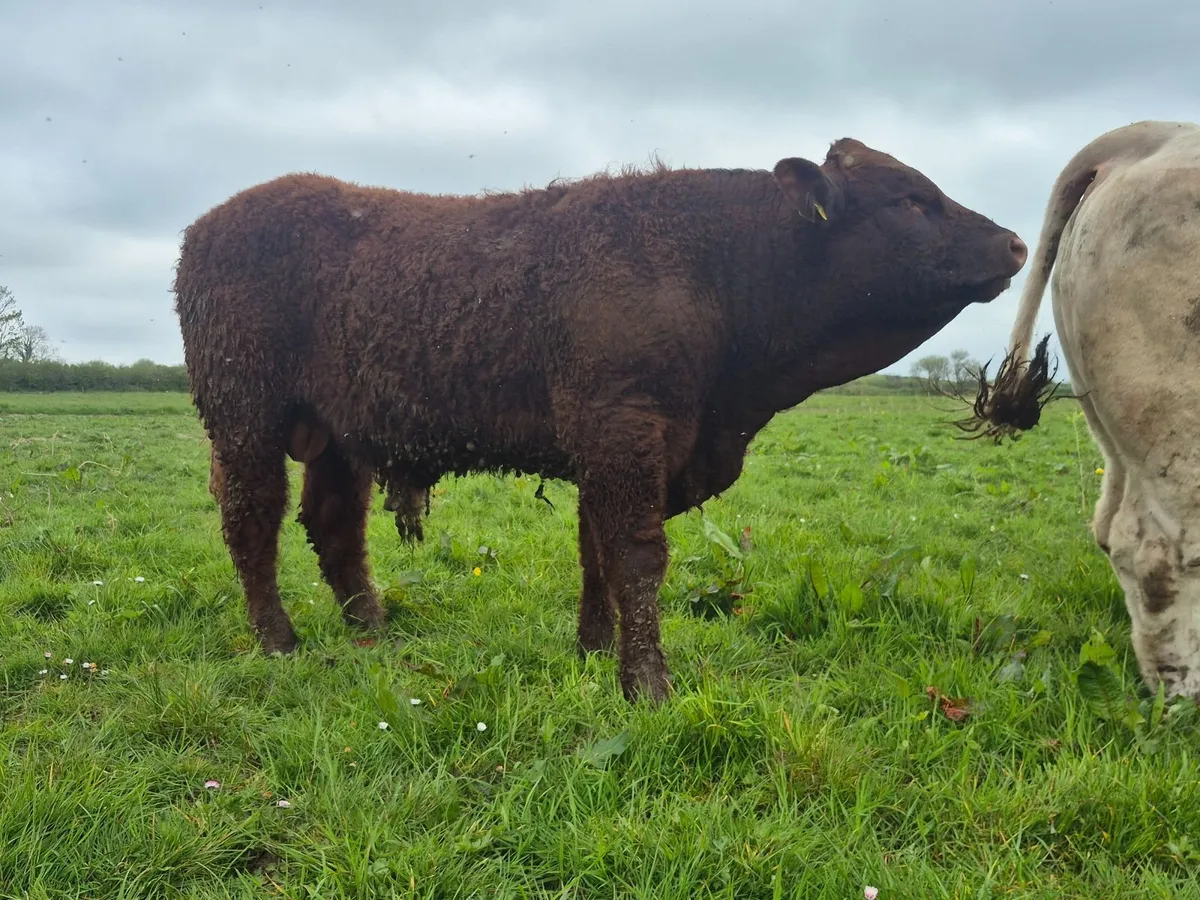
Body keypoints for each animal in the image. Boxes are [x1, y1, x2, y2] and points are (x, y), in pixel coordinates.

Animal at [173, 138, 1027, 703]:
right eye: (910, 199)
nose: (1017, 243)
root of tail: (208, 223)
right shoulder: (623, 428)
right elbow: (637, 559)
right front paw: (647, 684)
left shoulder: (611, 445)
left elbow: (595, 555)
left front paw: (592, 651)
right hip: (245, 418)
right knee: (254, 523)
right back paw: (279, 641)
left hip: (338, 437)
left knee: (334, 528)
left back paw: (371, 633)